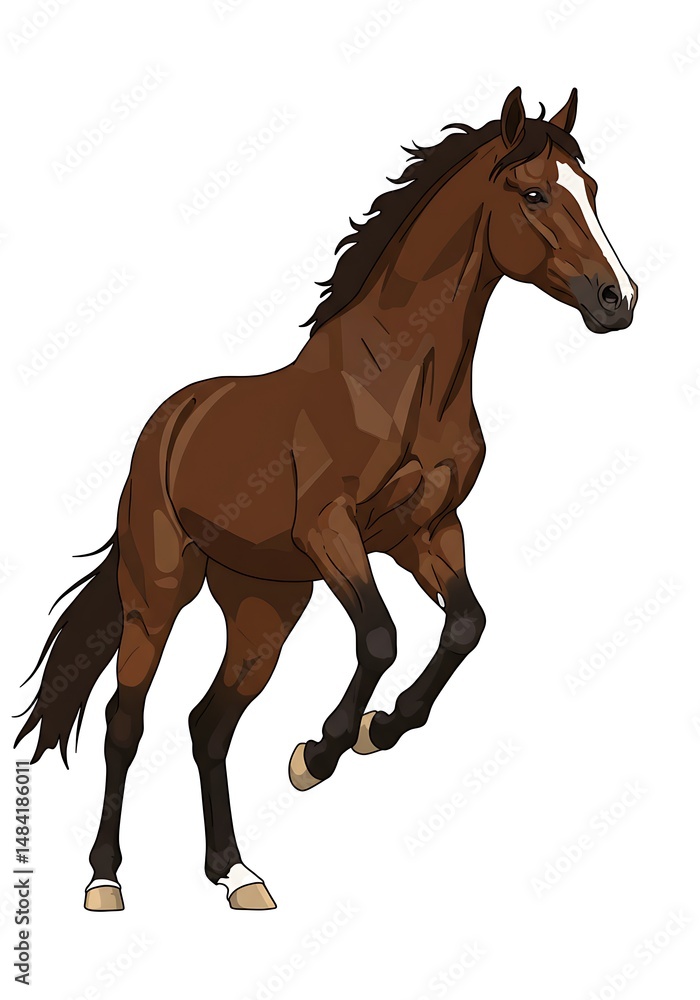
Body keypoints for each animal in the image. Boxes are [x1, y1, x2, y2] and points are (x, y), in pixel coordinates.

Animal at [15, 86, 637, 912]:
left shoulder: (425, 531)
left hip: (264, 609)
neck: (400, 377)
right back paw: (106, 878)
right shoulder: (332, 531)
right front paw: (317, 754)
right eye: (535, 193)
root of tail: (168, 423)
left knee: (208, 724)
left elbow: (465, 626)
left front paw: (375, 730)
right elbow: (380, 637)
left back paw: (236, 874)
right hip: (160, 590)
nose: (619, 299)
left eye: (591, 190)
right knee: (127, 719)